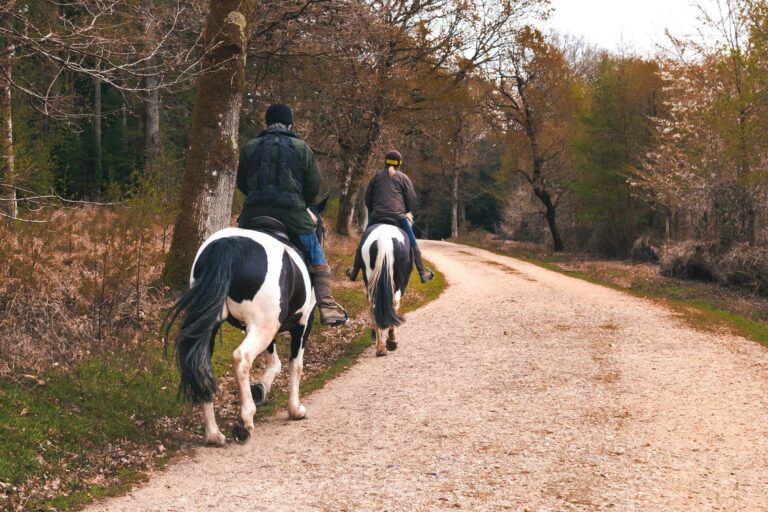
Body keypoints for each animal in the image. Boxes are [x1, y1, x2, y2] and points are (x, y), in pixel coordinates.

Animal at [165, 210, 324, 446]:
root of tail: (229, 246)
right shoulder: (303, 324)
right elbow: (295, 365)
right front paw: (295, 409)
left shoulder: (267, 329)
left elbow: (274, 363)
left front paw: (260, 390)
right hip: (263, 327)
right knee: (242, 357)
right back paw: (244, 422)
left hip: (214, 327)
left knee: (201, 366)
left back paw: (214, 434)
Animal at [358, 222, 414, 358]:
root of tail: (384, 240)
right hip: (400, 281)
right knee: (395, 303)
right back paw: (391, 341)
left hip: (370, 280)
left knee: (373, 306)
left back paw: (380, 347)